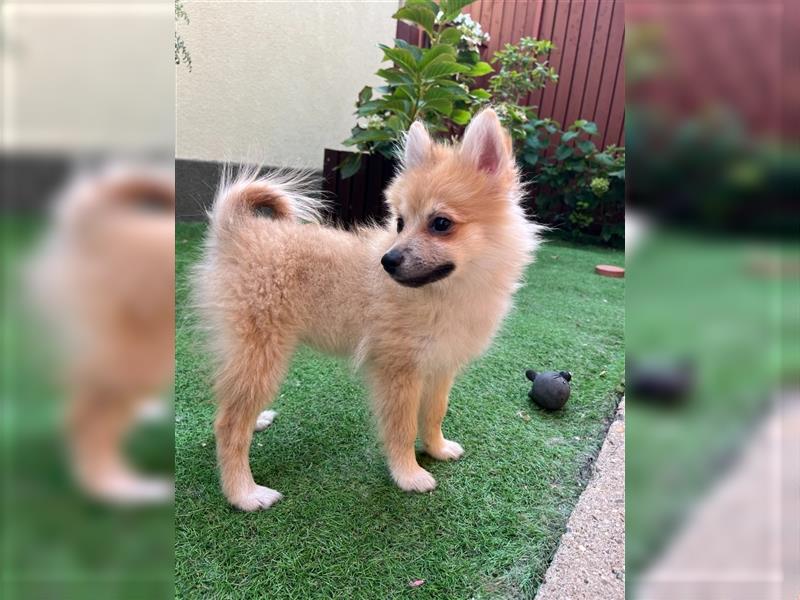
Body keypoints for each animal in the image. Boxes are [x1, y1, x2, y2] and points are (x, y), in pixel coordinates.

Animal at [196, 109, 540, 510]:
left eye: (441, 224)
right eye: (401, 223)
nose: (387, 261)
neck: (446, 292)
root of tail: (237, 231)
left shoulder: (440, 366)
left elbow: (434, 413)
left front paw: (436, 449)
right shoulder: (399, 372)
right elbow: (403, 427)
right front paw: (408, 474)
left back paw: (257, 422)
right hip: (261, 354)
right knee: (228, 423)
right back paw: (244, 493)